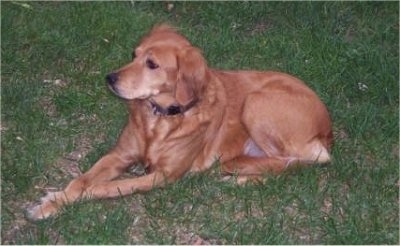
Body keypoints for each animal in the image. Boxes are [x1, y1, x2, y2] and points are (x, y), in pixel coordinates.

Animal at [26, 24, 332, 221]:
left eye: (152, 64)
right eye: (133, 54)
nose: (110, 78)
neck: (161, 117)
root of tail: (328, 127)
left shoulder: (162, 176)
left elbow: (106, 188)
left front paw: (69, 198)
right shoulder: (120, 155)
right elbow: (81, 179)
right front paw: (53, 202)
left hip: (257, 103)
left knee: (307, 160)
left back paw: (244, 177)